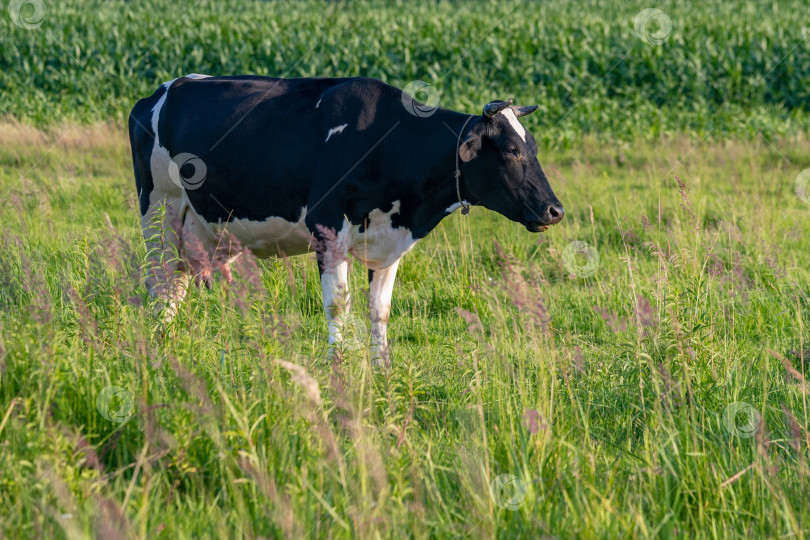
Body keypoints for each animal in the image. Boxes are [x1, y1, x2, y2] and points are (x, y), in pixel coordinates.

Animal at [129, 75, 564, 362]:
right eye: (510, 150)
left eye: (533, 147)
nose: (555, 210)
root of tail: (157, 93)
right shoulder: (327, 230)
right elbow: (338, 304)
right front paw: (336, 366)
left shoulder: (390, 241)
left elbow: (379, 308)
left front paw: (382, 368)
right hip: (160, 213)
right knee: (161, 284)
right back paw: (161, 346)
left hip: (197, 230)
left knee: (176, 286)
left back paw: (172, 342)